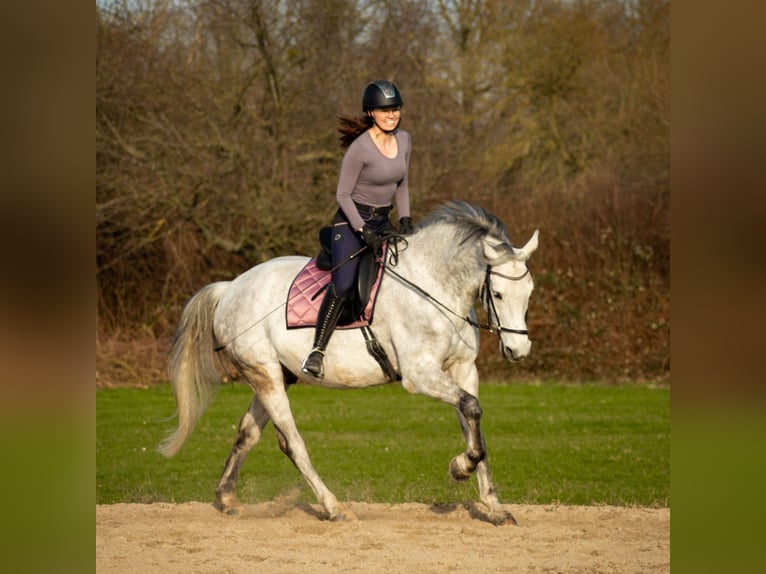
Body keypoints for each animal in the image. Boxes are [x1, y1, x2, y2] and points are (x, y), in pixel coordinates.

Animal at [159, 201, 540, 528]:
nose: (518, 349)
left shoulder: (462, 370)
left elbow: (474, 423)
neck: (434, 286)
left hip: (276, 376)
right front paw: (460, 467)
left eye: (530, 292)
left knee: (247, 433)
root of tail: (230, 288)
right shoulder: (420, 375)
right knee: (292, 442)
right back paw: (334, 507)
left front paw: (494, 507)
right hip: (263, 374)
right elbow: (472, 410)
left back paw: (227, 498)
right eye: (499, 294)